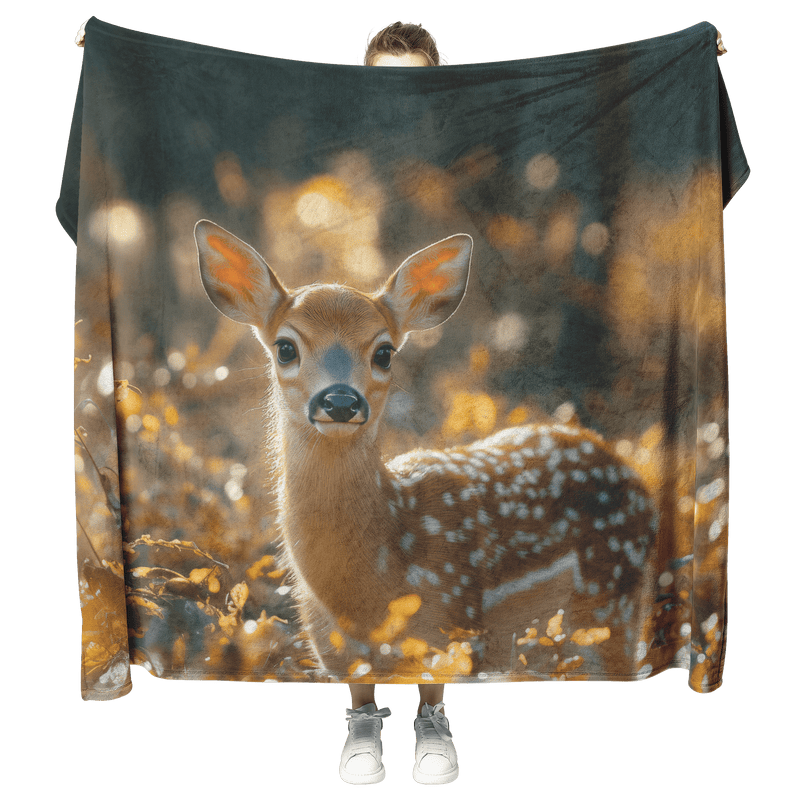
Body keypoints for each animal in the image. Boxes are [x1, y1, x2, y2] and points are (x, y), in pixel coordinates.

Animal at [194, 219, 659, 684]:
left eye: (384, 352)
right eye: (285, 347)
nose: (341, 401)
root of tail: (630, 472)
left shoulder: (454, 629)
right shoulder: (336, 657)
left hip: (609, 608)